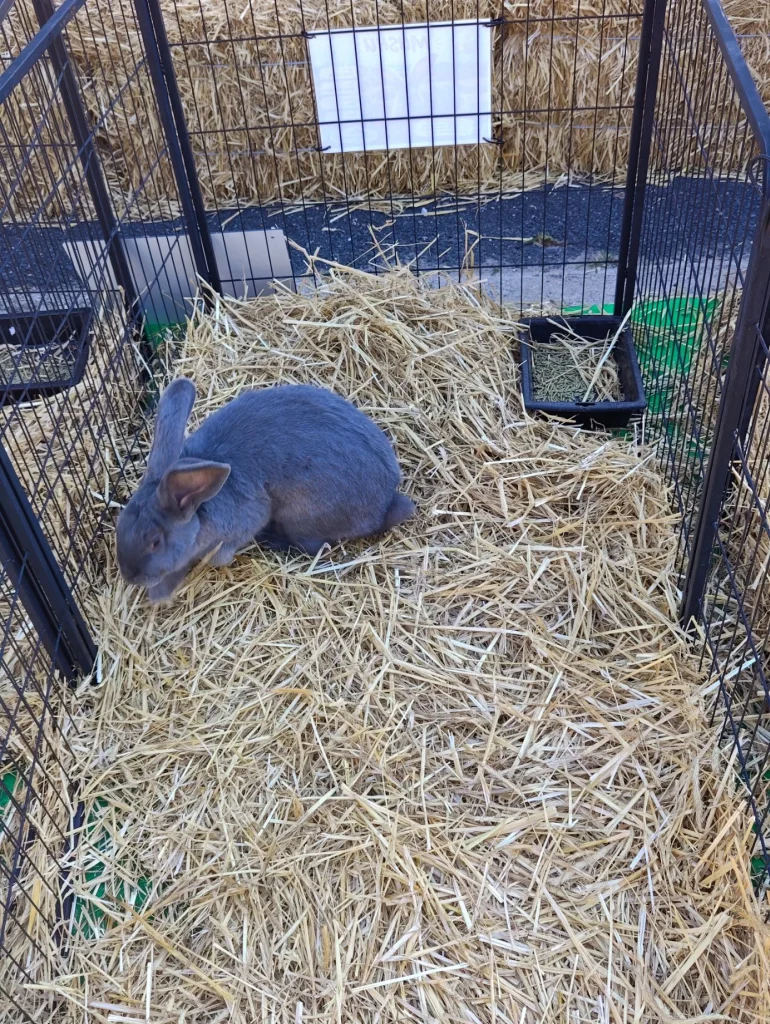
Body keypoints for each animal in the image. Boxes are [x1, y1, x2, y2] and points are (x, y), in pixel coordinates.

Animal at [116, 377, 415, 604]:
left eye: (155, 542)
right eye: (120, 525)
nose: (129, 576)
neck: (200, 509)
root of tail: (385, 503)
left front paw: (161, 594)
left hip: (301, 516)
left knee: (315, 546)